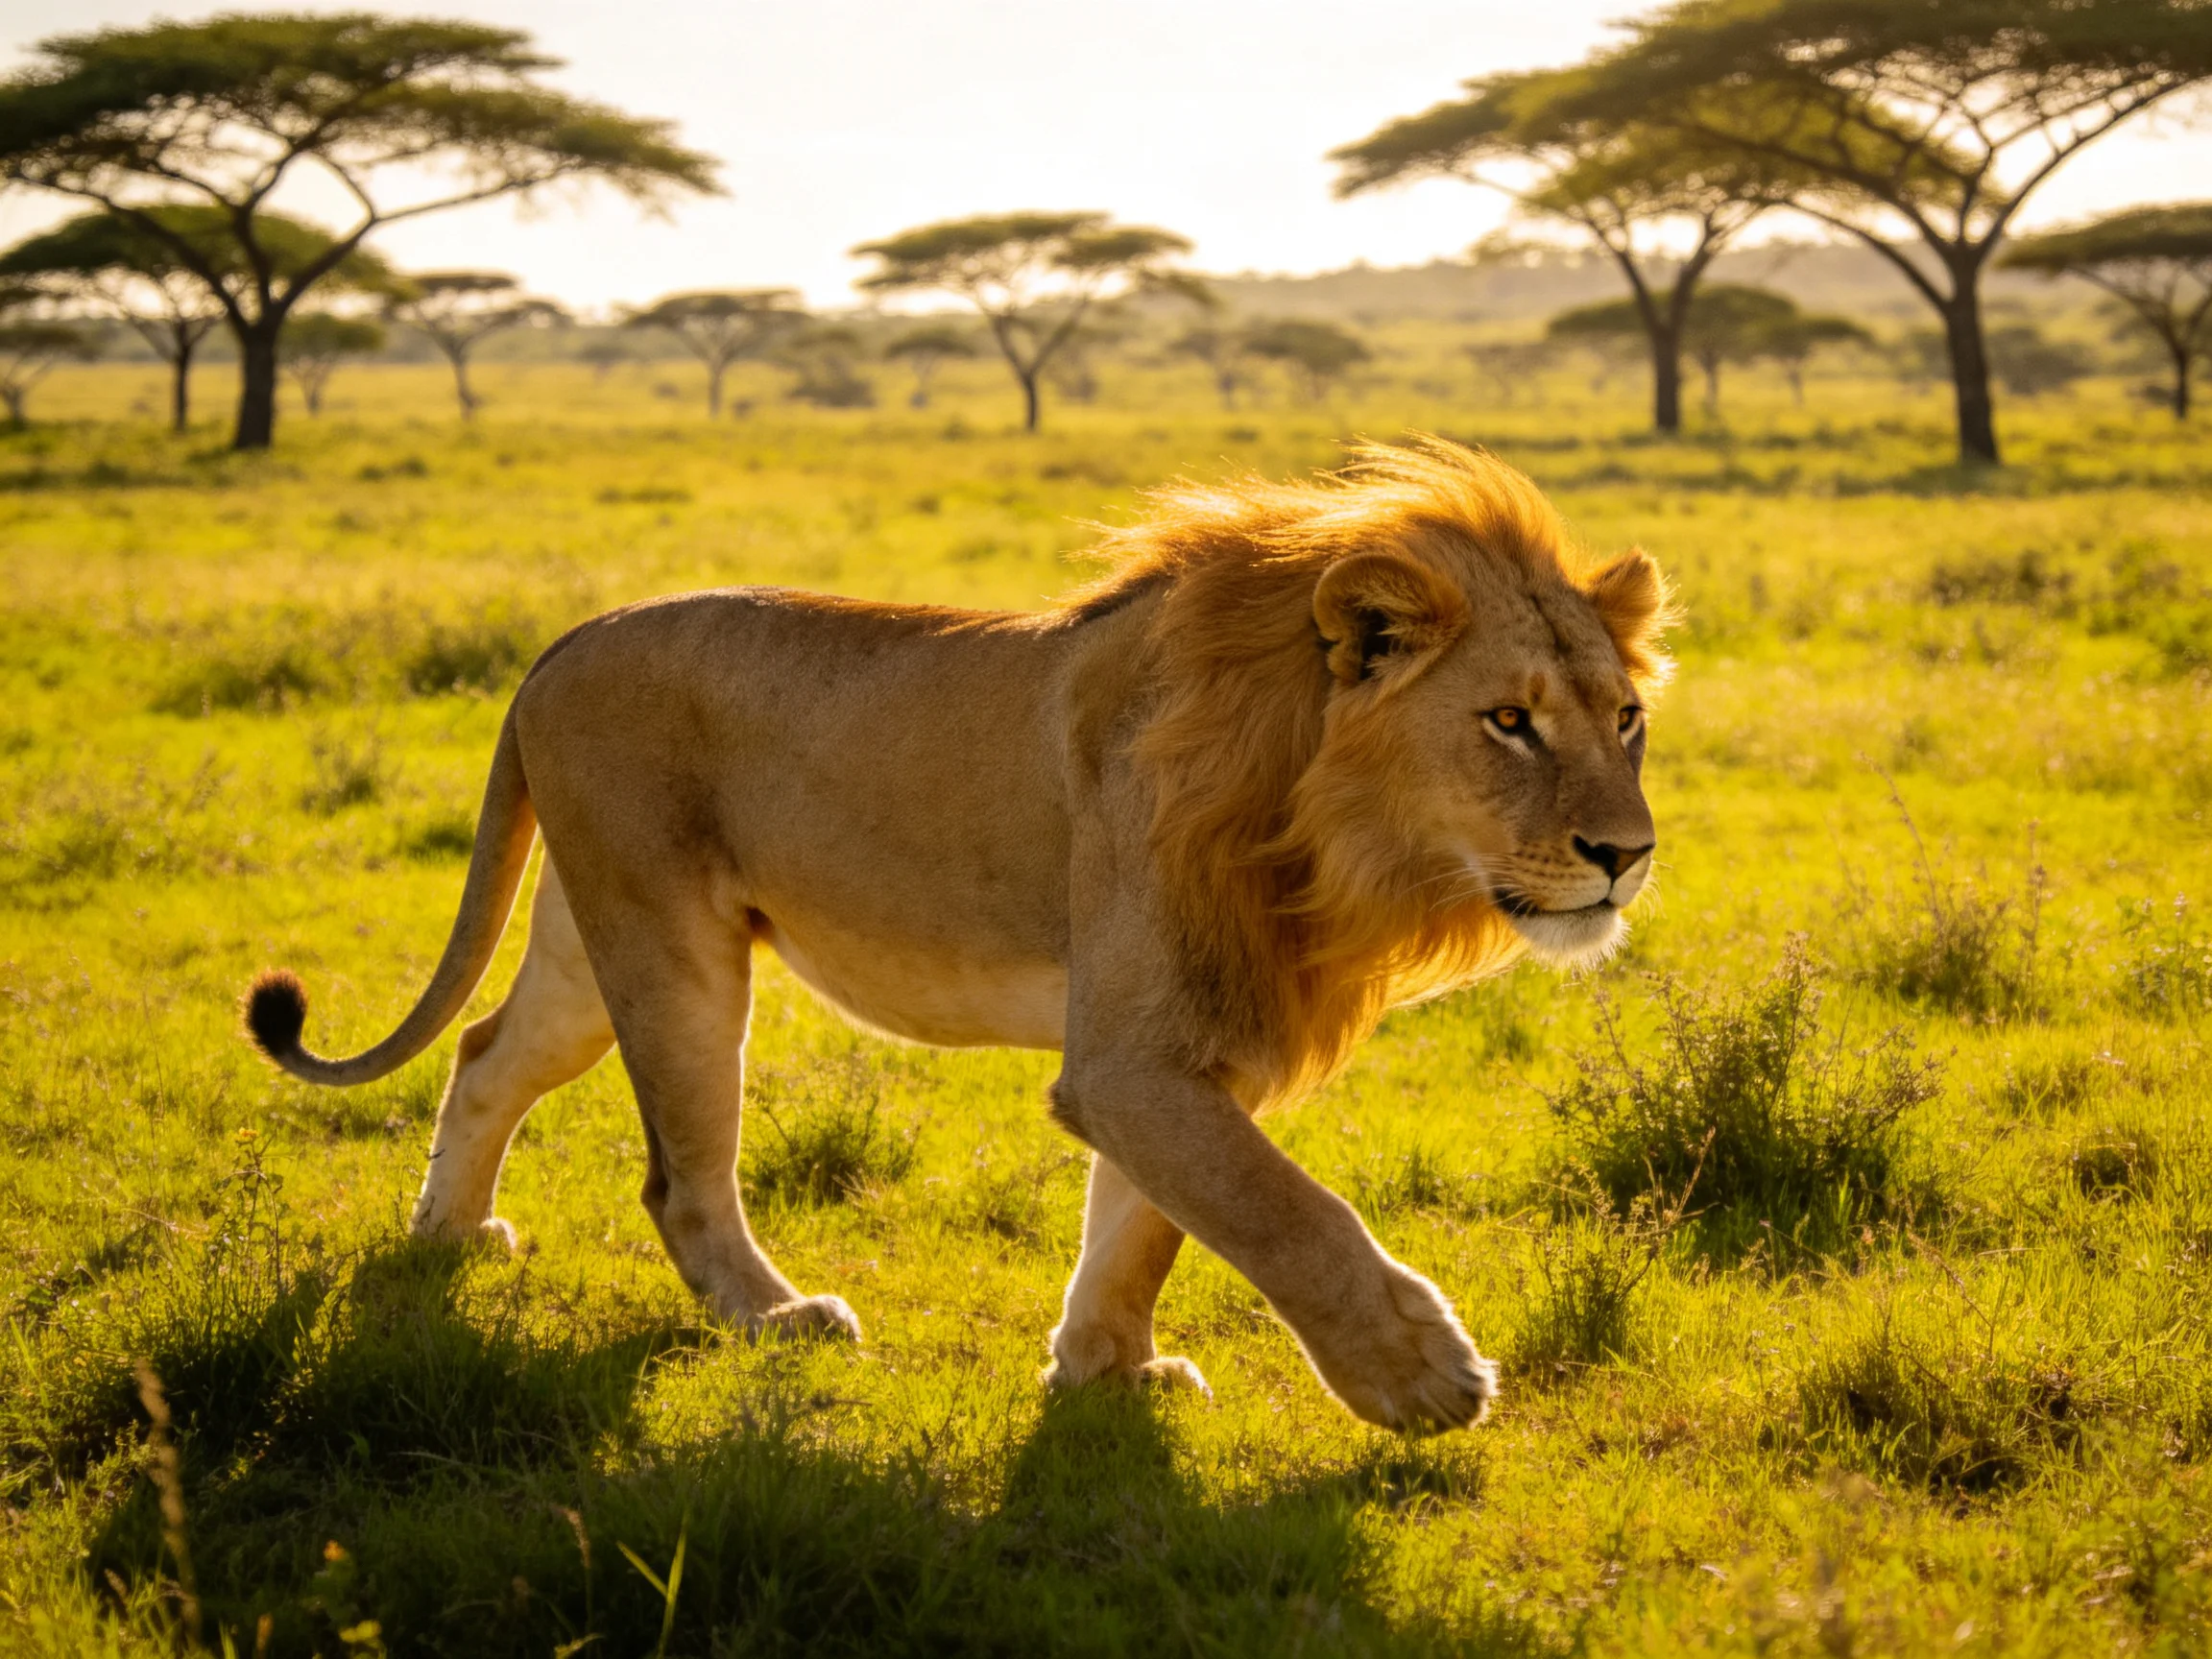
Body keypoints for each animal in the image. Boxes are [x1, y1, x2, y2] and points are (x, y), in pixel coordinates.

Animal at [244, 436, 1672, 1433]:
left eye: (1626, 719)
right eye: (1509, 722)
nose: (1628, 856)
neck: (1323, 826)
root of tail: (558, 644)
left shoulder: (1190, 1041)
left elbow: (1146, 1224)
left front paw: (1107, 1373)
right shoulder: (1132, 1058)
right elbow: (1277, 1209)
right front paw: (1421, 1374)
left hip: (587, 945)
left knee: (488, 1051)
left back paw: (447, 1239)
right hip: (671, 951)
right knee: (679, 1179)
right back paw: (778, 1319)